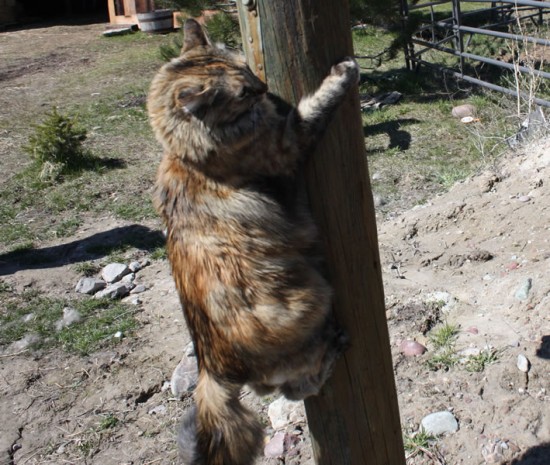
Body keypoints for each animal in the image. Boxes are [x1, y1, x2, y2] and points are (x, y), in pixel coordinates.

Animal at [149, 18, 360, 464]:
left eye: (247, 69)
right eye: (243, 93)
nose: (263, 89)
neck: (186, 155)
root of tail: (211, 370)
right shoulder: (286, 143)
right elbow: (312, 107)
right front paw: (343, 73)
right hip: (313, 298)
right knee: (296, 386)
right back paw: (333, 347)